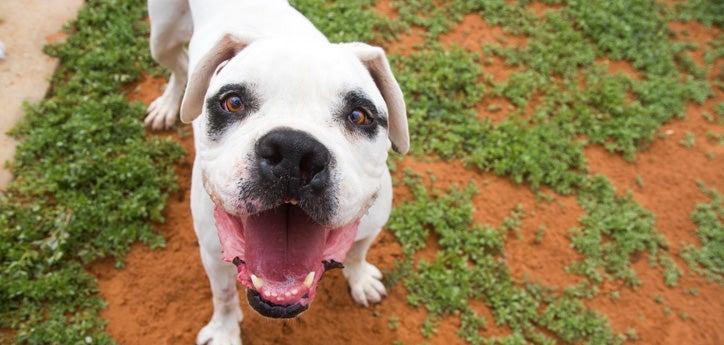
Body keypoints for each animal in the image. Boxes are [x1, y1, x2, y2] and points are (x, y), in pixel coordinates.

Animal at [144, 1, 410, 342]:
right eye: (233, 102)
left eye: (359, 115)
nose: (294, 152)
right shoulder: (212, 256)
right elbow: (224, 297)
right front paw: (224, 332)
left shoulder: (371, 225)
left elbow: (357, 252)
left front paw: (360, 278)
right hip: (162, 38)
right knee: (179, 67)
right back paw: (168, 103)